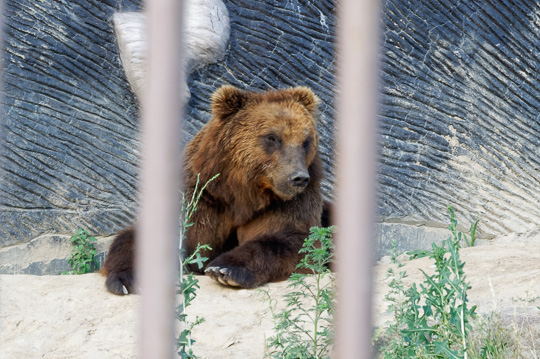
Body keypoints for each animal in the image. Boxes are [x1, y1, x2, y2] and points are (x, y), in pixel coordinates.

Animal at [102, 85, 324, 296]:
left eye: (306, 141)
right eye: (272, 138)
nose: (298, 178)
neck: (244, 194)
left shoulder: (285, 204)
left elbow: (295, 240)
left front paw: (225, 269)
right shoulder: (203, 198)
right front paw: (130, 279)